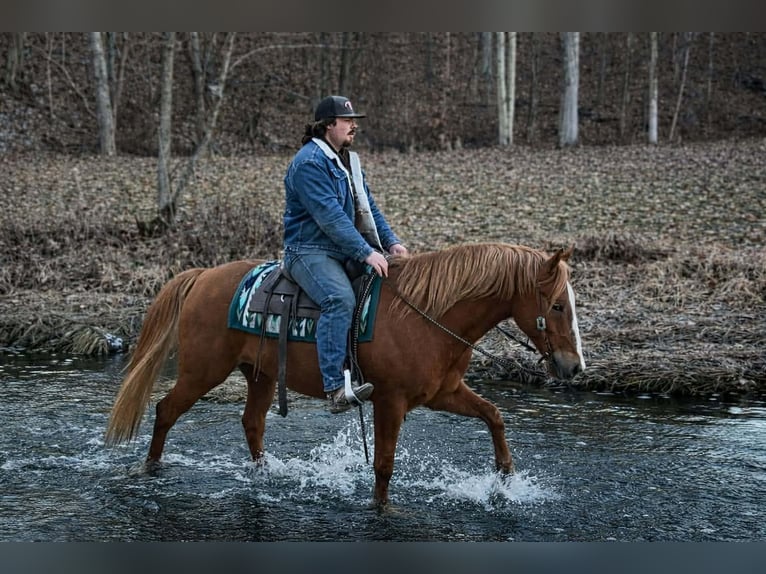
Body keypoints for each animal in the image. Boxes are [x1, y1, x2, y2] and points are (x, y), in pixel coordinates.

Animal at [105, 242, 585, 507]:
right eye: (557, 305)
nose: (574, 366)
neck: (426, 316)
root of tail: (203, 275)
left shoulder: (444, 393)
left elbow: (493, 415)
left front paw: (505, 477)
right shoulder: (390, 400)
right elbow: (384, 464)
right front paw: (381, 509)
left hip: (260, 374)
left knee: (252, 423)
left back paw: (264, 476)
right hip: (202, 372)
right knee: (166, 411)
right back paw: (149, 468)